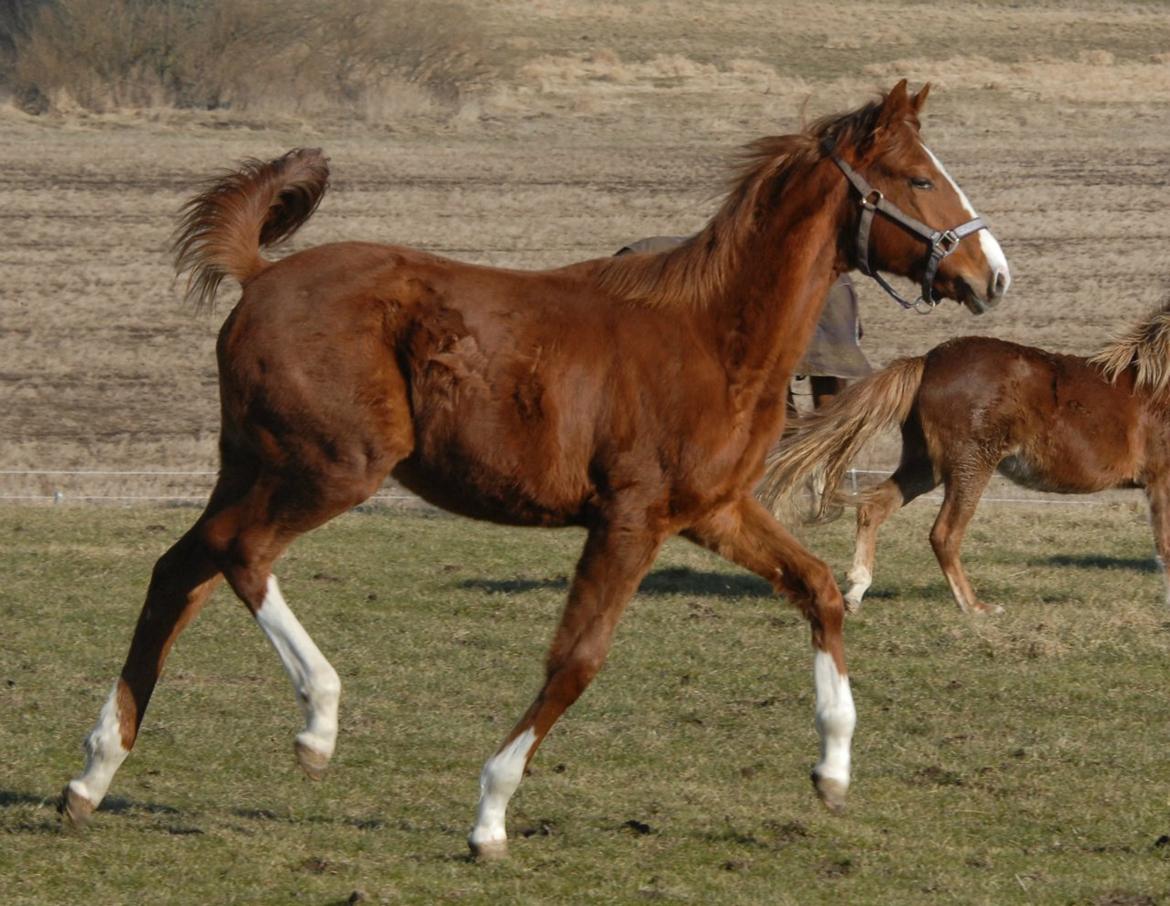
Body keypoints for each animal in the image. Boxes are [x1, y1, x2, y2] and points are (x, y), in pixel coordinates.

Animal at [59, 81, 1010, 856]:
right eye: (920, 180)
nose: (992, 274)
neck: (710, 334)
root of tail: (262, 275)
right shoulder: (629, 517)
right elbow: (577, 659)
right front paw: (489, 815)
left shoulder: (713, 511)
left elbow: (817, 589)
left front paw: (833, 772)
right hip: (331, 467)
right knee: (239, 553)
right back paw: (317, 724)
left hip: (257, 462)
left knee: (181, 570)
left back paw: (93, 774)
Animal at [753, 311, 1170, 618]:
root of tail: (927, 361)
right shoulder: (1161, 482)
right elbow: (1164, 545)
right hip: (971, 465)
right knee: (945, 534)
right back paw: (975, 607)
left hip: (926, 465)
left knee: (874, 507)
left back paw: (856, 591)